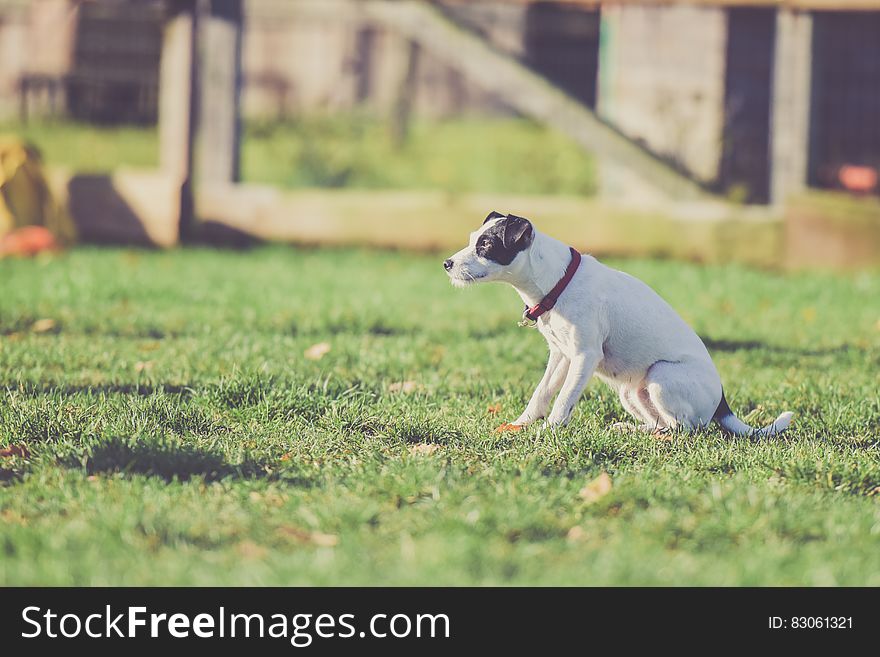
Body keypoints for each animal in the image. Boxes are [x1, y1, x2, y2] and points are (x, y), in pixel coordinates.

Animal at [444, 211, 796, 436]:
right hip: (632, 391)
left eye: (486, 245)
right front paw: (521, 424)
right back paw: (631, 429)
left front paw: (548, 431)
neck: (558, 282)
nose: (447, 263)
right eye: (472, 239)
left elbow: (563, 400)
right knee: (662, 423)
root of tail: (722, 403)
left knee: (684, 429)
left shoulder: (584, 357)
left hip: (660, 376)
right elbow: (542, 393)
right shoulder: (561, 355)